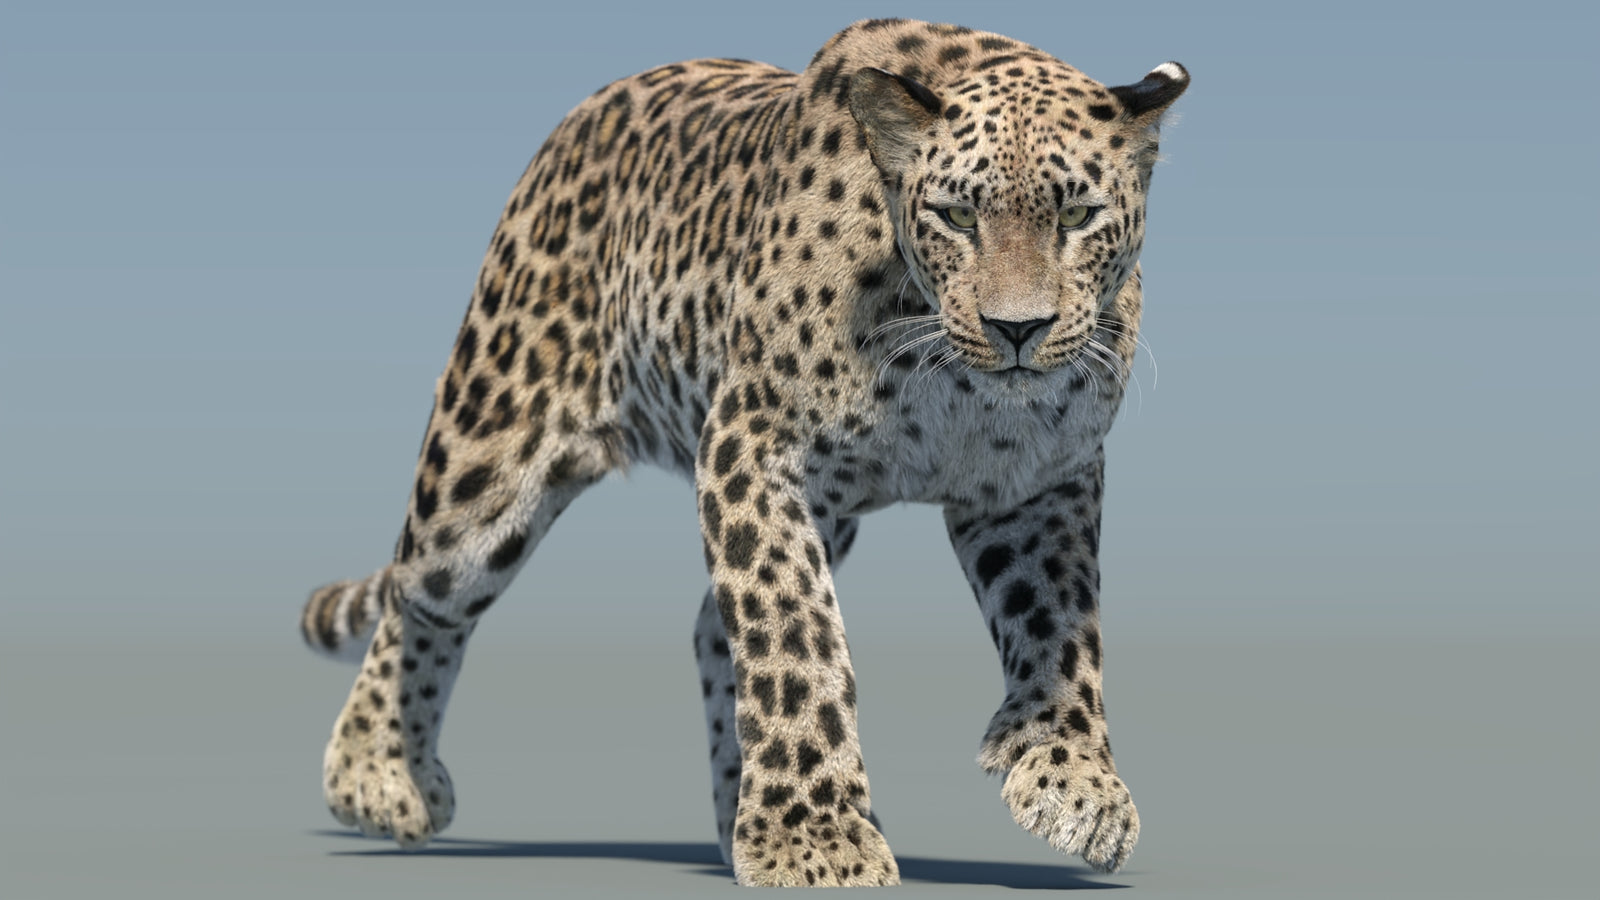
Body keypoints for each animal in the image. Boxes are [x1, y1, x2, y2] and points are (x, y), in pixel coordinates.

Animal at [298, 18, 1187, 887]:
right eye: (957, 217)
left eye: (1077, 217)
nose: (1017, 329)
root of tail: (582, 114)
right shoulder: (753, 446)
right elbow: (792, 630)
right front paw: (814, 839)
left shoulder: (1036, 479)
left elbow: (1059, 620)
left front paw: (1074, 779)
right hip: (488, 460)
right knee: (422, 592)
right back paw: (377, 776)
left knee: (703, 625)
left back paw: (734, 815)